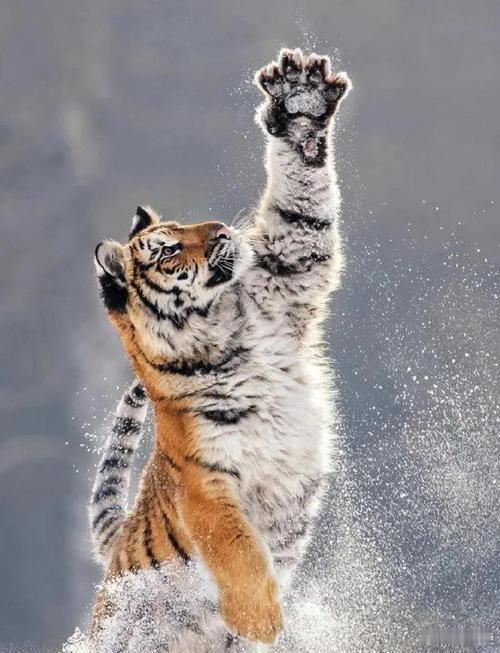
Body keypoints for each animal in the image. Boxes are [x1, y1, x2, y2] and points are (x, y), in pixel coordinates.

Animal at [89, 48, 351, 652]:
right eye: (167, 249)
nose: (222, 233)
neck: (227, 331)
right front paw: (262, 619)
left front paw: (300, 100)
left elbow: (301, 214)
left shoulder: (289, 272)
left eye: (185, 224)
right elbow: (236, 547)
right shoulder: (206, 484)